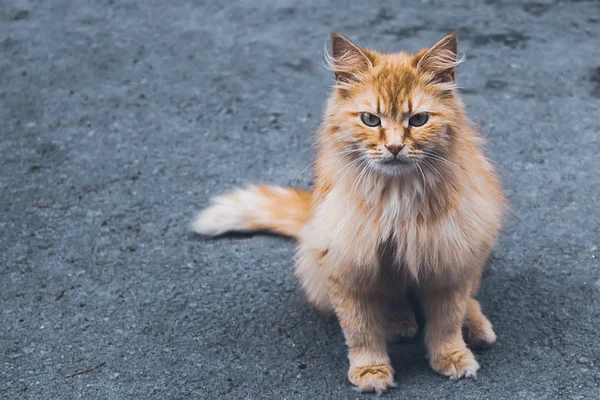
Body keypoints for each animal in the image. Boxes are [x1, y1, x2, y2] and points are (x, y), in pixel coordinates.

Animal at [192, 32, 502, 394]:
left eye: (418, 120)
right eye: (370, 119)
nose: (394, 147)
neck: (397, 199)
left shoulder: (449, 262)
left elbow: (447, 322)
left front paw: (452, 357)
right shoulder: (347, 266)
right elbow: (361, 331)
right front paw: (371, 370)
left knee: (468, 300)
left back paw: (476, 328)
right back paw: (399, 323)